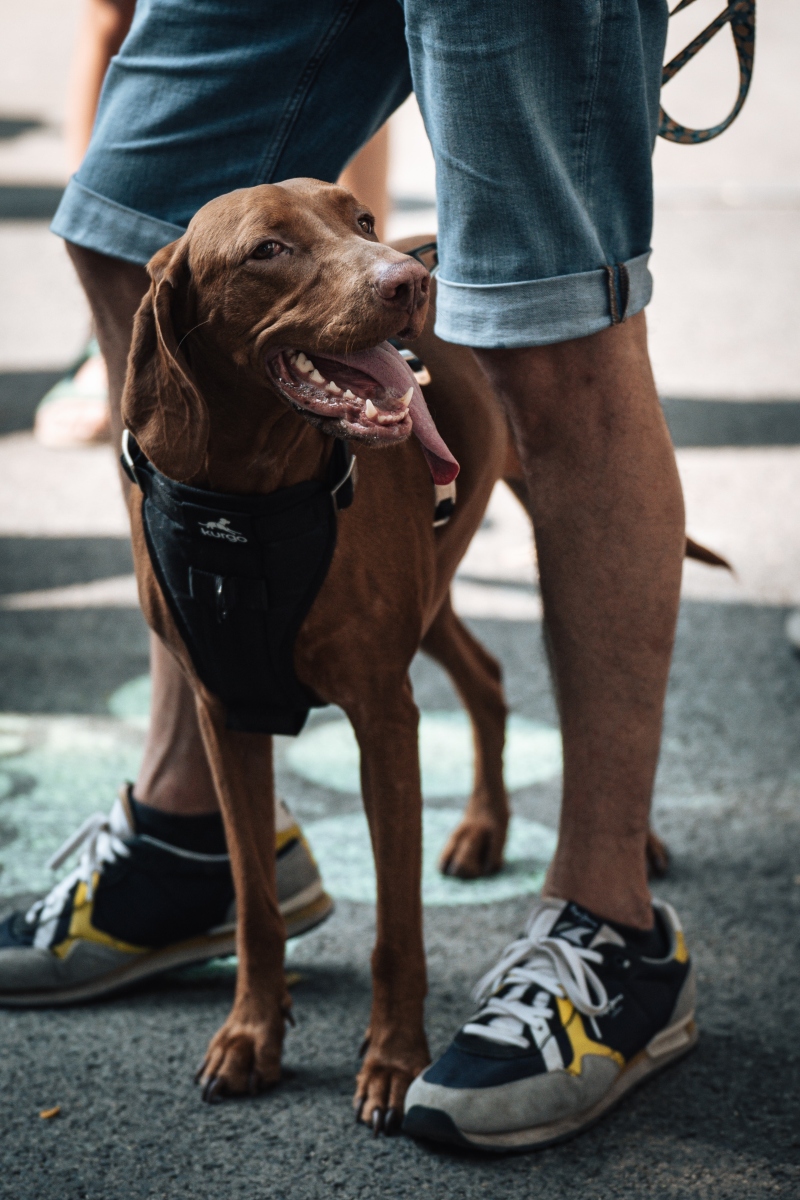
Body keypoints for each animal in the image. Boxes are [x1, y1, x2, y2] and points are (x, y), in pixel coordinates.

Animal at [122, 175, 686, 1123]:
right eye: (268, 249)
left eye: (360, 218)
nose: (409, 283)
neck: (249, 500)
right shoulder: (225, 711)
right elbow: (256, 905)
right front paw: (250, 1035)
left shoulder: (384, 718)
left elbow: (396, 922)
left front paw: (393, 1059)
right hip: (430, 597)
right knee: (489, 680)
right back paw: (484, 829)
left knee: (608, 690)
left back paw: (624, 843)